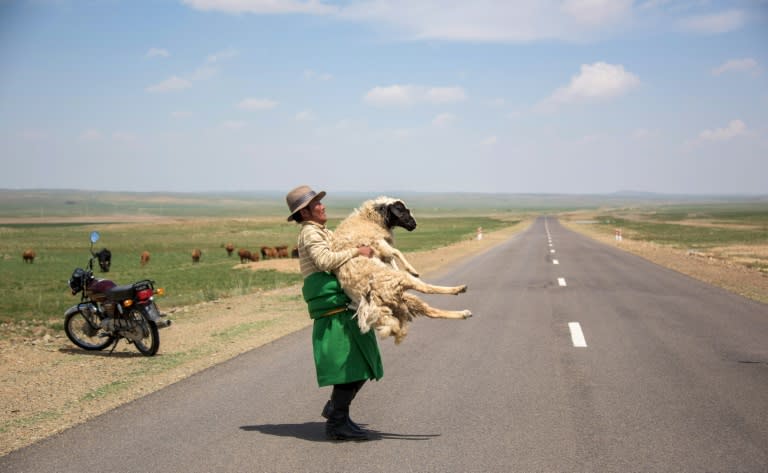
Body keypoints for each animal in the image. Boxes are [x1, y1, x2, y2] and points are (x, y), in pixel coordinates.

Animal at [332, 195, 472, 342]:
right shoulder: (378, 242)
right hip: (399, 284)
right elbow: (396, 252)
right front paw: (411, 269)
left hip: (402, 300)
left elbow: (392, 256)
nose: (414, 225)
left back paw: (464, 313)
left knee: (430, 311)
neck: (368, 218)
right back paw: (459, 289)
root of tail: (375, 298)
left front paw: (397, 266)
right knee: (426, 288)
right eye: (402, 210)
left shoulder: (380, 247)